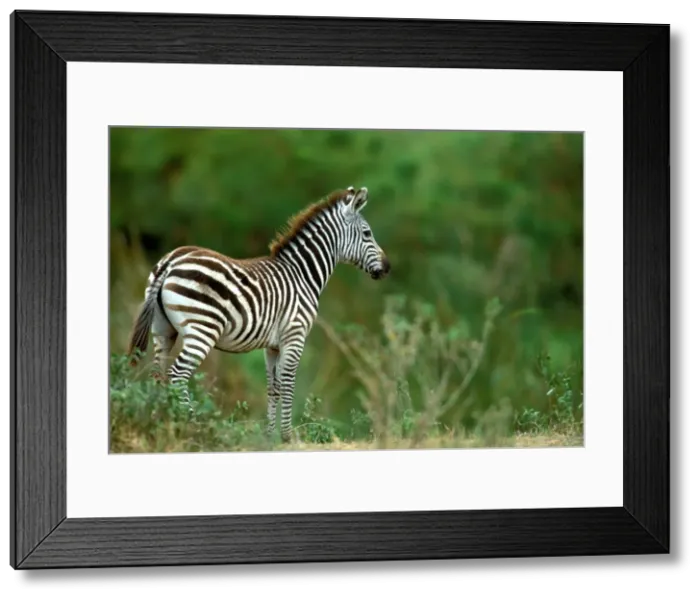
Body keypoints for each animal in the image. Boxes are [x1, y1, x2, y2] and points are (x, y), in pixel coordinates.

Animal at [126, 186, 391, 443]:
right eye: (367, 233)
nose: (388, 267)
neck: (302, 275)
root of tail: (170, 261)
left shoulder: (272, 346)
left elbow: (273, 387)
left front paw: (269, 436)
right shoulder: (295, 336)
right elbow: (288, 384)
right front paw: (287, 437)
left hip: (163, 330)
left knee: (158, 375)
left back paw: (162, 425)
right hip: (202, 330)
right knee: (177, 374)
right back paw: (193, 427)